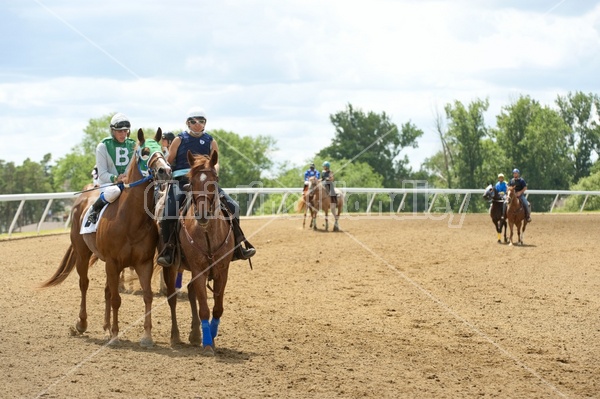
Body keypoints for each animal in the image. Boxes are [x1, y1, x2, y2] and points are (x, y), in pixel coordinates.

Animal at [39, 129, 171, 346]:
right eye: (144, 152)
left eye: (163, 150)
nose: (165, 171)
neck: (131, 219)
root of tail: (82, 199)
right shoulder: (113, 261)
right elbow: (117, 298)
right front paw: (116, 335)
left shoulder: (143, 263)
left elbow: (147, 296)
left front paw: (146, 336)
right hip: (83, 254)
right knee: (84, 284)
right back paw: (82, 324)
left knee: (107, 291)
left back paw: (106, 327)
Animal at [163, 151, 236, 356]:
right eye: (191, 182)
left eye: (214, 180)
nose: (202, 215)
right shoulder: (198, 270)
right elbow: (204, 307)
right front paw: (208, 343)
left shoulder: (222, 271)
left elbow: (217, 308)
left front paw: (211, 333)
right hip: (171, 267)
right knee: (172, 298)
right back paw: (176, 336)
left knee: (190, 292)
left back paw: (196, 334)